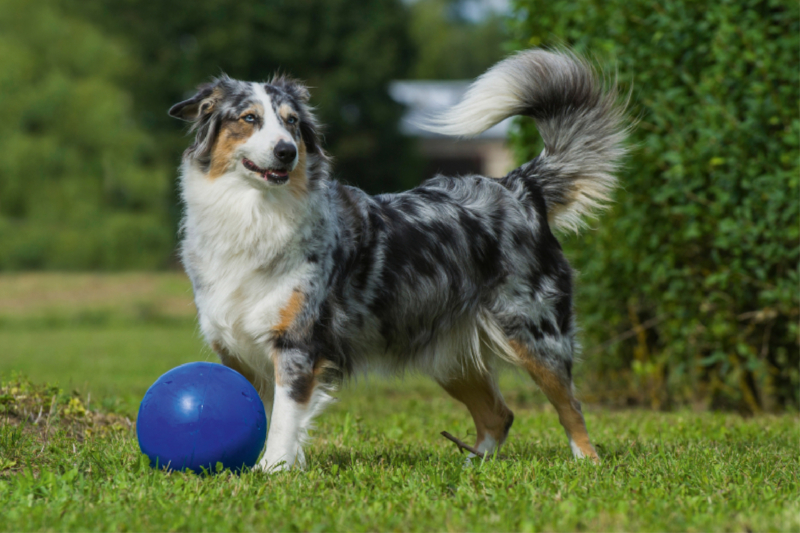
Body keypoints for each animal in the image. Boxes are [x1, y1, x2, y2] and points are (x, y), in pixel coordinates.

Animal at [169, 48, 628, 470]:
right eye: (248, 118)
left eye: (292, 123)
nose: (286, 152)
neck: (253, 213)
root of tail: (518, 186)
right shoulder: (235, 350)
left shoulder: (297, 343)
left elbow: (283, 420)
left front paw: (273, 471)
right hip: (449, 355)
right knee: (499, 415)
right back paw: (471, 468)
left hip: (536, 334)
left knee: (571, 408)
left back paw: (587, 464)